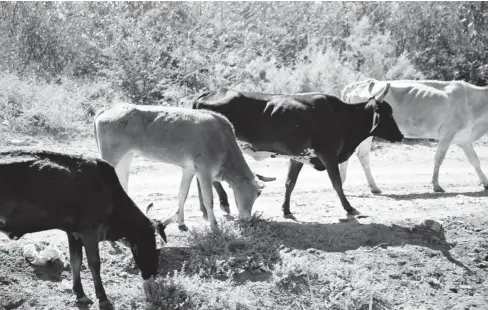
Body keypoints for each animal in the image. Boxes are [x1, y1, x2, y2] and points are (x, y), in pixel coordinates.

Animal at [0, 150, 167, 310]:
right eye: (155, 249)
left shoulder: (73, 233)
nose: (152, 274)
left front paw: (80, 294)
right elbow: (94, 264)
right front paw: (103, 298)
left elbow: (76, 260)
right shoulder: (89, 232)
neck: (107, 189)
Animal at [193, 81, 404, 219]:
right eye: (387, 114)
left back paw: (205, 208)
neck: (341, 116)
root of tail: (208, 93)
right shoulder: (328, 154)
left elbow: (290, 183)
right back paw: (221, 204)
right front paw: (349, 207)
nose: (401, 136)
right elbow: (336, 183)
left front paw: (286, 209)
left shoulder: (298, 156)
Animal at [340, 78, 488, 193]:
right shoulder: (448, 133)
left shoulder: (464, 139)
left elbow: (475, 160)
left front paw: (485, 183)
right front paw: (436, 185)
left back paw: (372, 187)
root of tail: (360, 84)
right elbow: (439, 158)